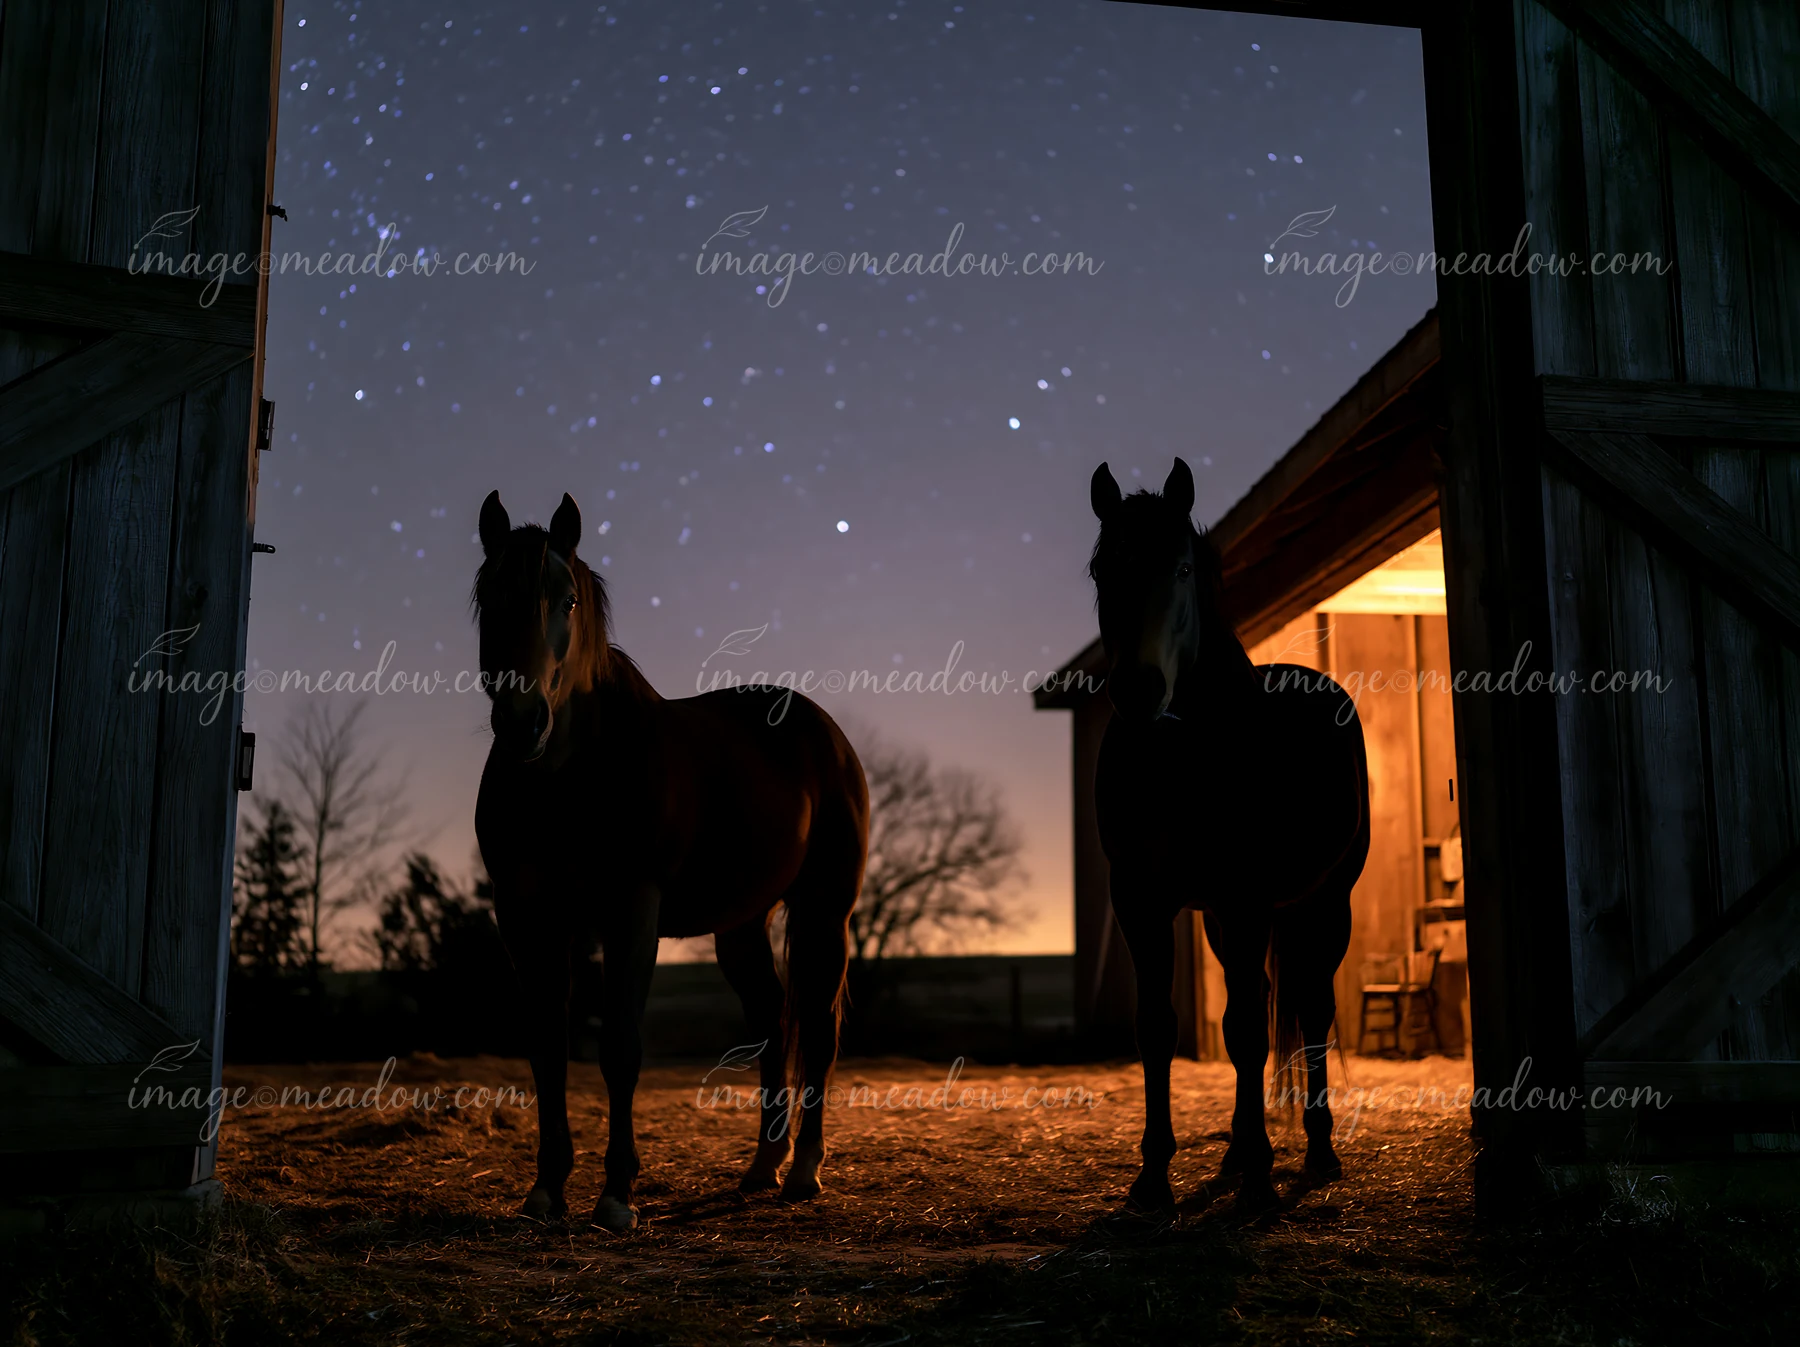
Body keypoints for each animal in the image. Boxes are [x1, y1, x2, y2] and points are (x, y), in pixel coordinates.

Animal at [471, 490, 869, 1232]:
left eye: (567, 600)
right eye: (489, 596)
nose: (521, 722)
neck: (571, 775)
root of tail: (825, 733)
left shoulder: (632, 911)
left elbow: (620, 1048)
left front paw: (616, 1194)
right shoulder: (525, 914)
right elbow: (546, 1048)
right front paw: (546, 1189)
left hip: (824, 911)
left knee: (818, 1030)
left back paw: (804, 1170)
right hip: (741, 925)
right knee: (772, 1021)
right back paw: (762, 1167)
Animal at [1086, 458, 1370, 1213]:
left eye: (1182, 566)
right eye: (1101, 567)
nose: (1138, 689)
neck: (1184, 757)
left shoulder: (1246, 899)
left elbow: (1248, 1034)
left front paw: (1261, 1183)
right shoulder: (1142, 900)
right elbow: (1159, 1028)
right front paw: (1153, 1178)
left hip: (1323, 903)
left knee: (1308, 1009)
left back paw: (1316, 1151)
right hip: (1225, 917)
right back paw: (1240, 1152)